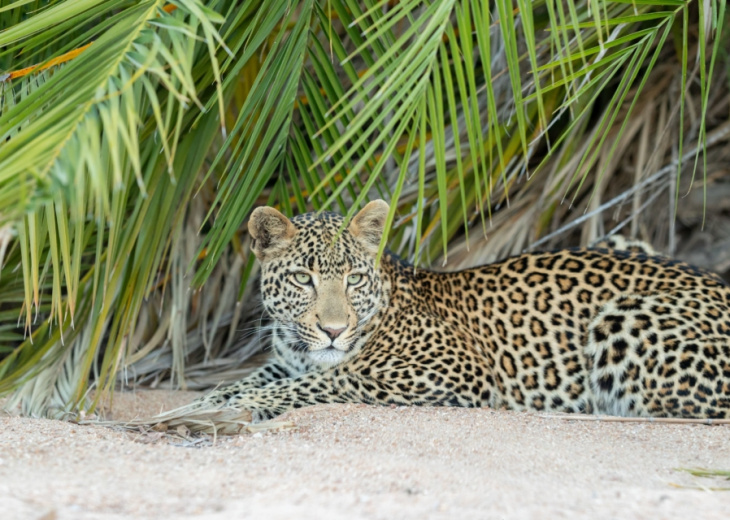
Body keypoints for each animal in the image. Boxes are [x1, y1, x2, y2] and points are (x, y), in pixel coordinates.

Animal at [195, 199, 728, 422]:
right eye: (303, 279)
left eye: (354, 279)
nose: (332, 330)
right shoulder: (285, 361)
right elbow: (255, 379)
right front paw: (208, 401)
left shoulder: (453, 368)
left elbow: (328, 381)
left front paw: (240, 405)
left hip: (625, 317)